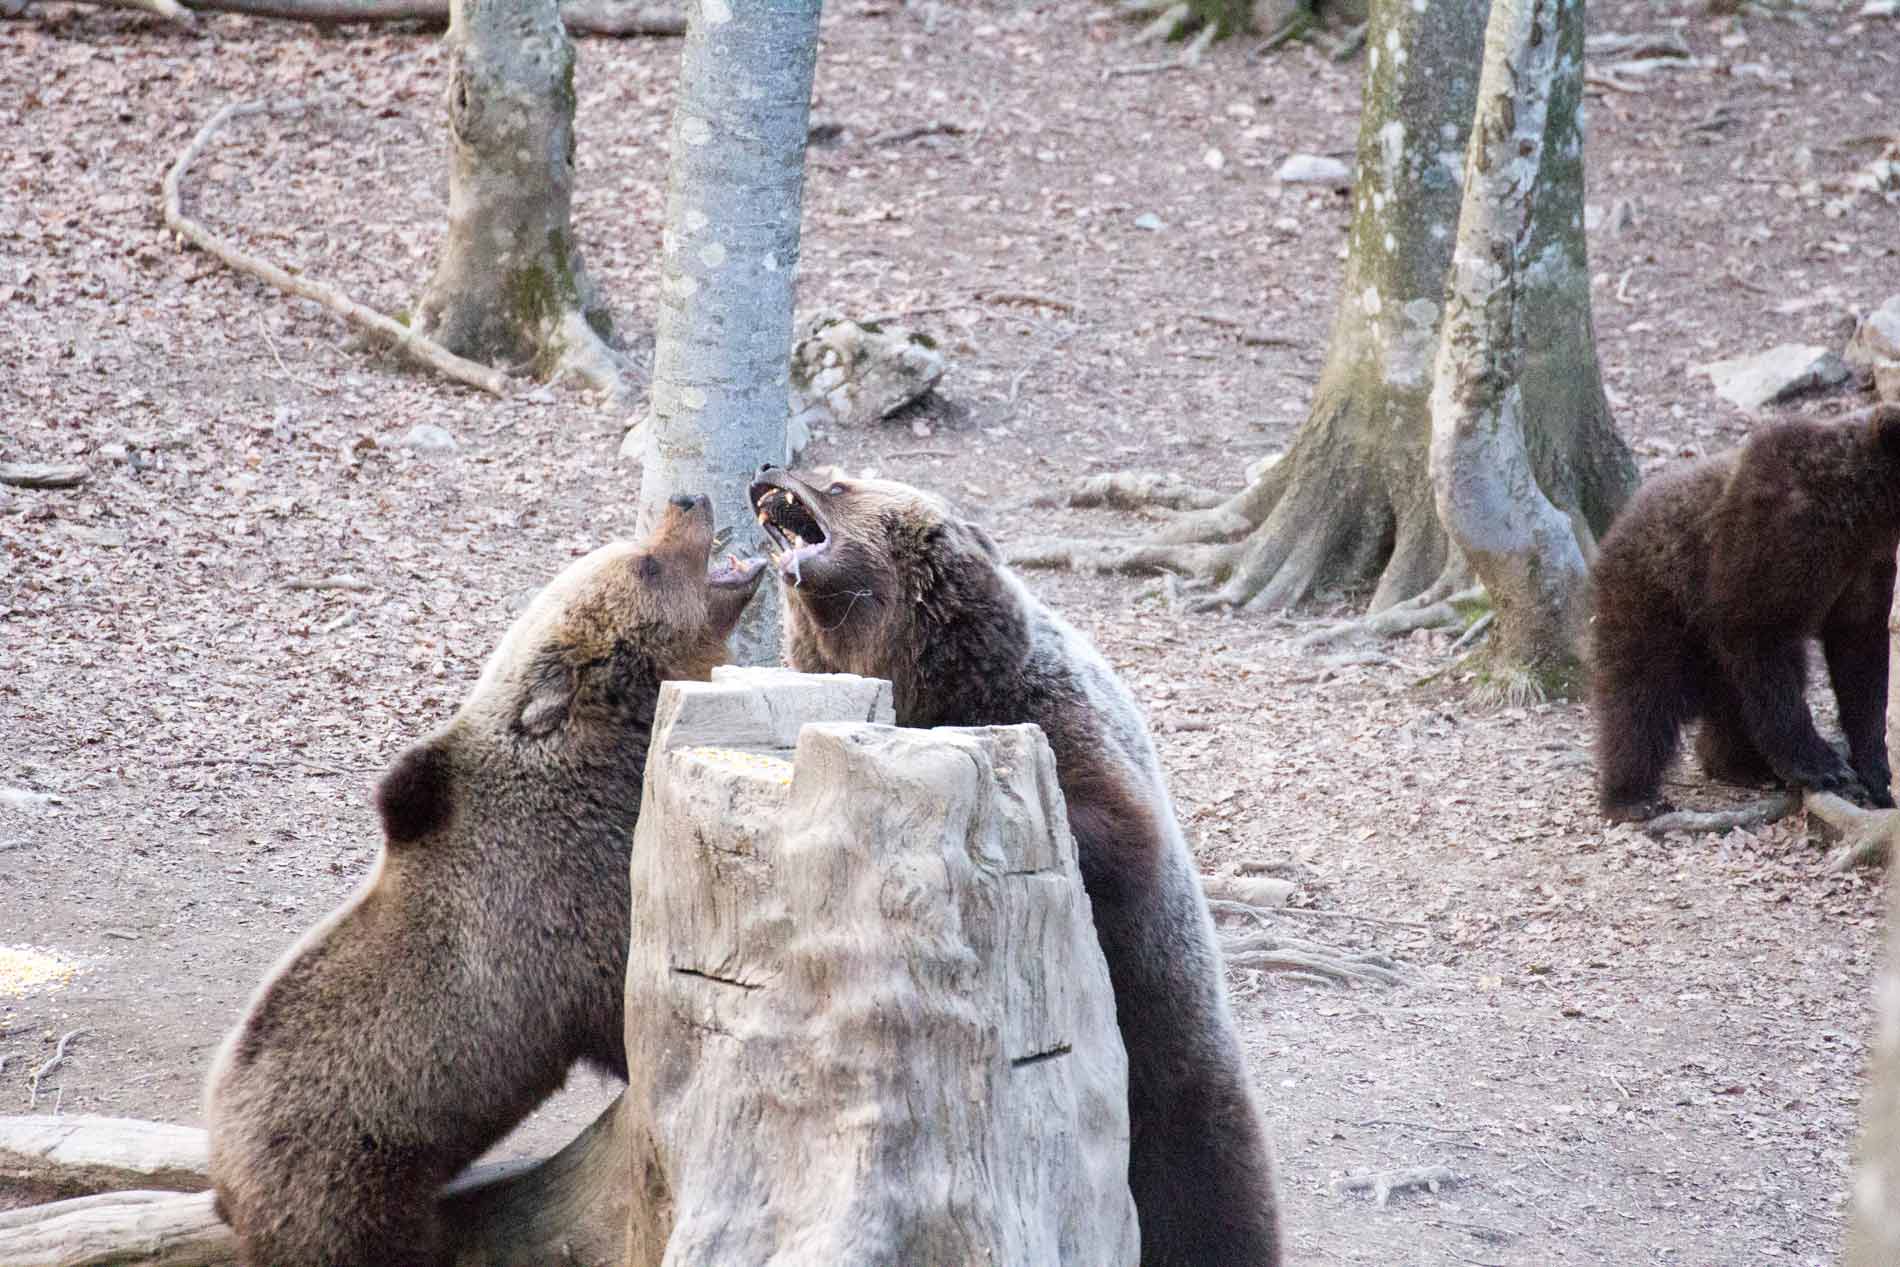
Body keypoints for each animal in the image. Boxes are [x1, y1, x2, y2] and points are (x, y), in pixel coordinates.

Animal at [206, 493, 763, 1267]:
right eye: (645, 563)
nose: (690, 499)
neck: (599, 765)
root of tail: (222, 1170)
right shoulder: (576, 904)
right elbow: (628, 1011)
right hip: (342, 1175)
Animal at [748, 465, 1284, 1267]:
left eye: (839, 482)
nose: (767, 472)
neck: (918, 673)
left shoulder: (1048, 713)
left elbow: (1115, 828)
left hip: (1175, 1073)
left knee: (1215, 1197)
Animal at [1588, 404, 1900, 824]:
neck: (1862, 513)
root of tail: (1616, 525)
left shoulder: (1866, 567)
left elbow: (1861, 662)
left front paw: (1876, 771)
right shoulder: (1773, 541)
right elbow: (1760, 640)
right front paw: (1823, 766)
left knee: (1725, 697)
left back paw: (1739, 762)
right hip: (1655, 602)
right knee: (1640, 695)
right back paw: (1633, 796)